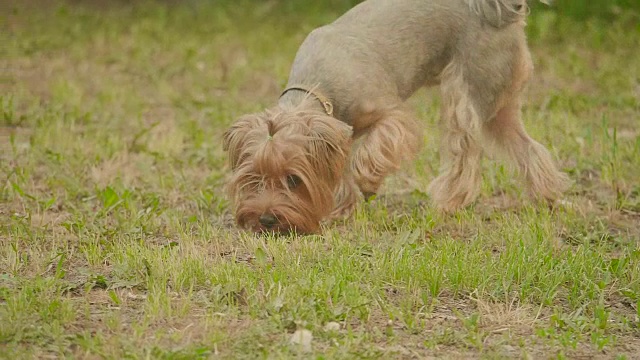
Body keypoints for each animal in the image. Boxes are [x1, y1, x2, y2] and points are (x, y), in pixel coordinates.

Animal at [222, 0, 568, 233]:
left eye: (293, 179)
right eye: (253, 179)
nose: (266, 219)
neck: (315, 90)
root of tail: (502, 11)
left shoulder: (391, 116)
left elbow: (373, 151)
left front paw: (367, 182)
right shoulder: (339, 136)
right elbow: (340, 170)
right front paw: (341, 208)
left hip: (467, 89)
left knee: (465, 154)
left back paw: (449, 202)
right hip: (497, 103)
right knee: (528, 149)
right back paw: (547, 197)